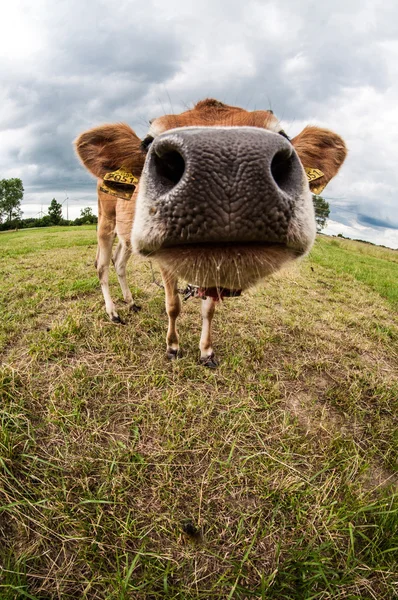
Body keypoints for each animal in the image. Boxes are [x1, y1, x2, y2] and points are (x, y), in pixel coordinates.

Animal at [75, 98, 348, 366]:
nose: (227, 162)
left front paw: (206, 351)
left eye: (284, 135)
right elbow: (173, 305)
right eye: (147, 142)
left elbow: (209, 310)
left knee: (119, 262)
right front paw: (173, 347)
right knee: (102, 265)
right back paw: (113, 312)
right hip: (105, 221)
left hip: (127, 236)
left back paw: (131, 302)